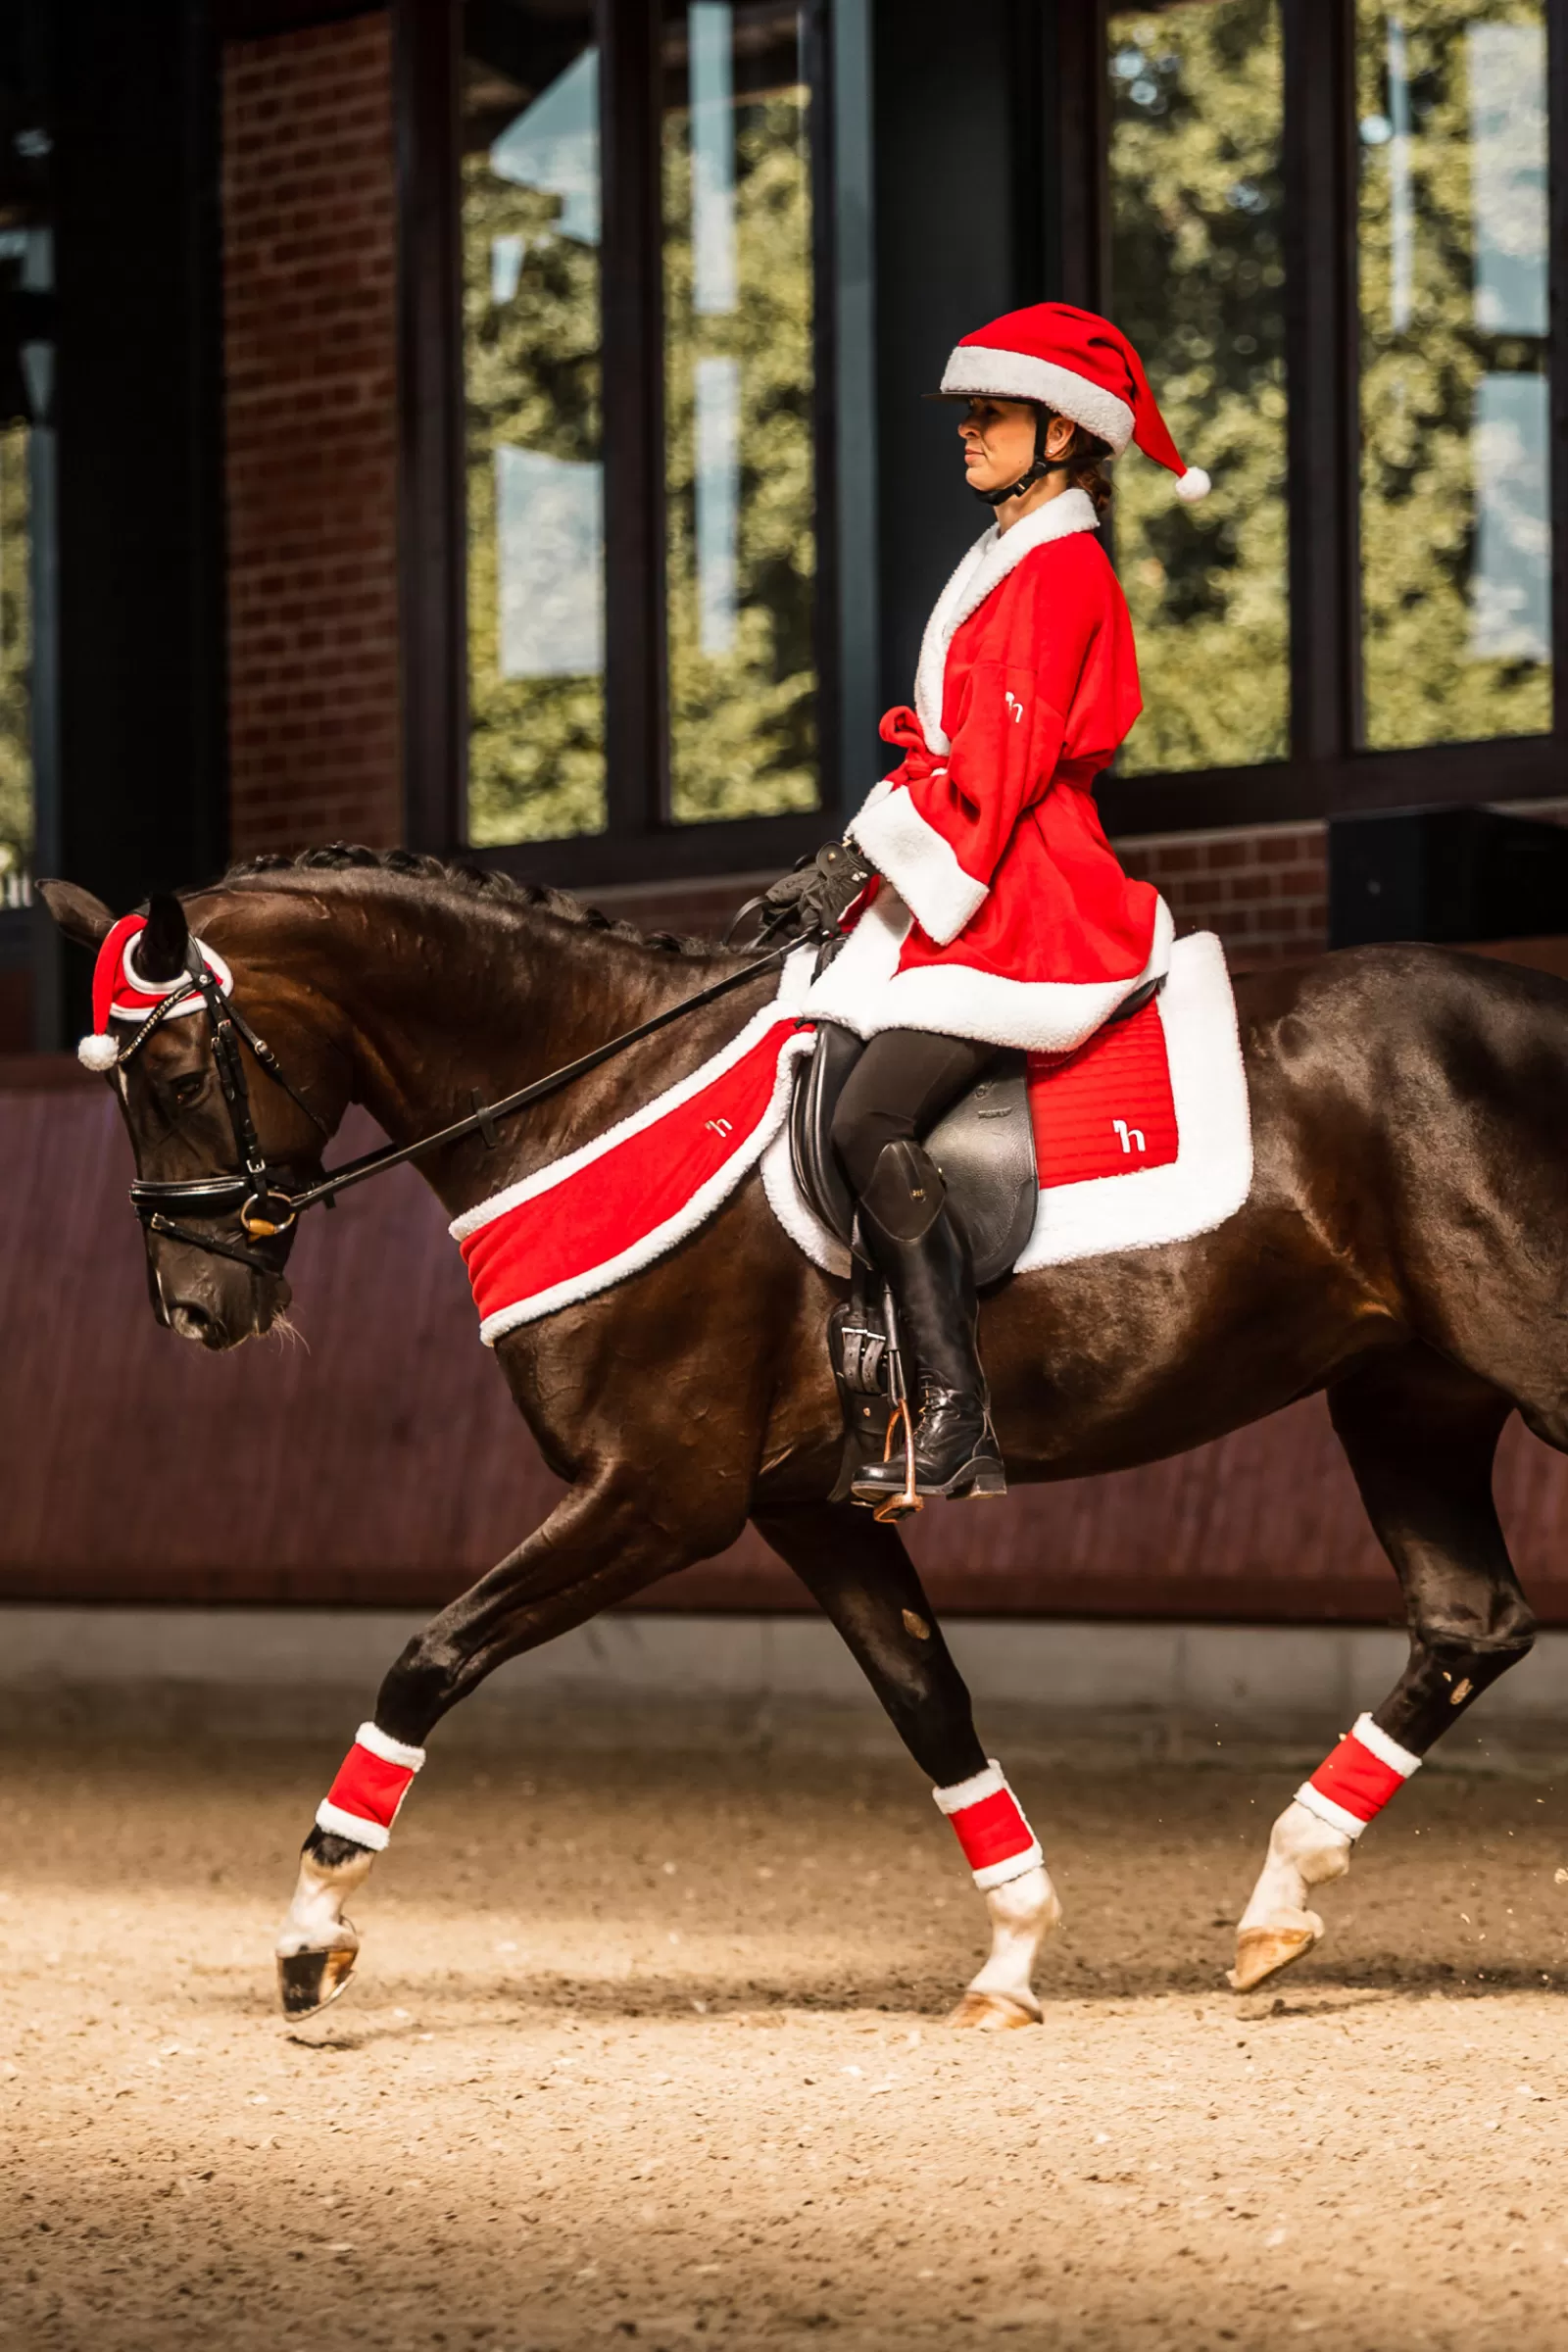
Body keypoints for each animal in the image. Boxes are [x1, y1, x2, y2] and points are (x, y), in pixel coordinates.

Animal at [39, 856, 1568, 2032]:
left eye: (177, 1069)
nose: (197, 1310)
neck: (593, 1091)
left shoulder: (662, 1492)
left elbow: (426, 1660)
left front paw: (311, 1935)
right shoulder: (811, 1508)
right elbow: (930, 1703)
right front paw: (1011, 1955)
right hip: (1405, 1395)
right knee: (1471, 1622)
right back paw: (1280, 1892)